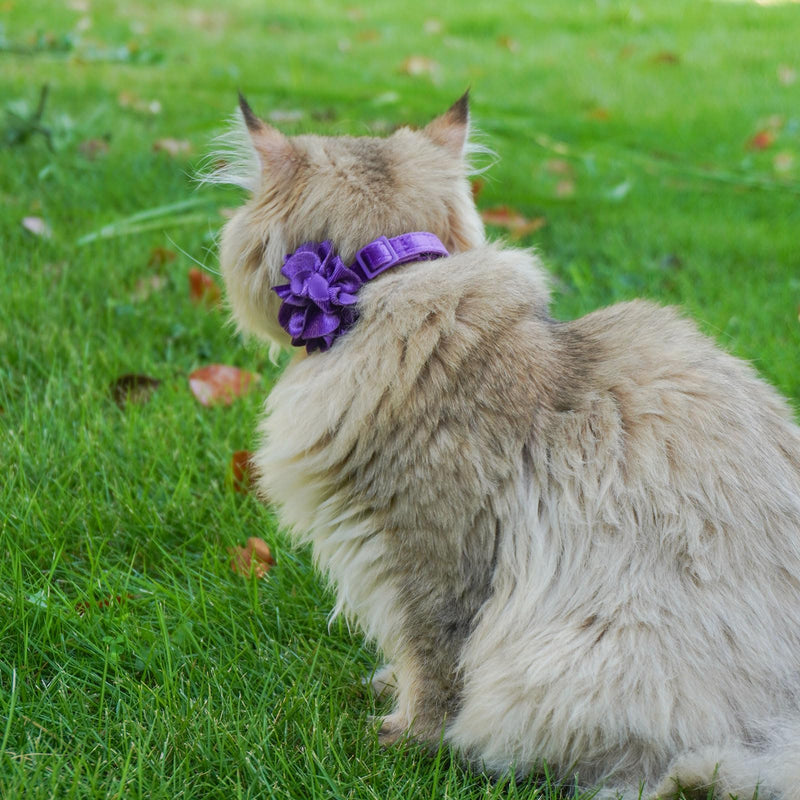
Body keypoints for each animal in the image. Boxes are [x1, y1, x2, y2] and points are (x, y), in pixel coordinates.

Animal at [209, 90, 800, 796]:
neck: (394, 280)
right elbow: (412, 659)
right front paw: (388, 691)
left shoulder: (431, 556)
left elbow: (434, 665)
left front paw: (406, 738)